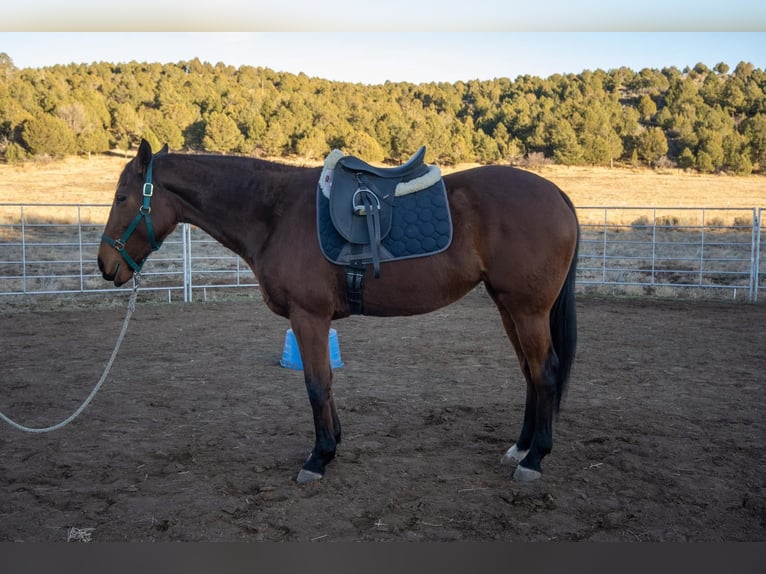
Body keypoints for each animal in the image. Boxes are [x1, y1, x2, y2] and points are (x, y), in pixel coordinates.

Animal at [99, 141, 584, 486]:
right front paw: (333, 444)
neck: (274, 213)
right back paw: (520, 448)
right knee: (529, 372)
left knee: (545, 371)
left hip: (528, 310)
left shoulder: (308, 317)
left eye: (122, 197)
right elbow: (326, 384)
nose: (105, 266)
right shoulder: (314, 321)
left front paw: (318, 458)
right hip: (509, 307)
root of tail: (556, 193)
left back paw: (534, 459)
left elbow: (316, 385)